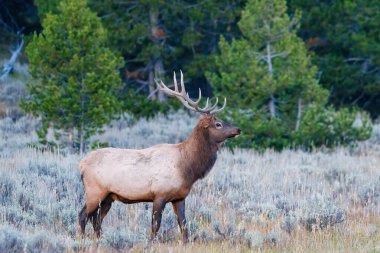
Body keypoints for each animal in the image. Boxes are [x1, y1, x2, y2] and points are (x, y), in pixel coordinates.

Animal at [78, 70, 242, 241]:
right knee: (83, 215)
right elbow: (155, 225)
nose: (238, 129)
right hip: (94, 191)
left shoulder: (180, 197)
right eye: (218, 124)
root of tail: (81, 164)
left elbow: (184, 225)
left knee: (96, 219)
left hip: (108, 196)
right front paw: (151, 242)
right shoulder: (159, 194)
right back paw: (81, 240)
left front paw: (185, 242)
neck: (187, 168)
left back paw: (99, 239)